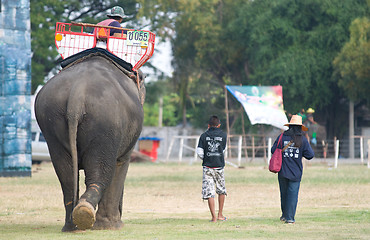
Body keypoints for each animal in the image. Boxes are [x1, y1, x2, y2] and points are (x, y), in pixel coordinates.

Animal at [34, 51, 145, 232]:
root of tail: (76, 96)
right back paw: (87, 215)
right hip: (105, 123)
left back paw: (73, 225)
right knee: (101, 172)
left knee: (66, 175)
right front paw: (114, 227)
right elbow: (121, 164)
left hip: (51, 122)